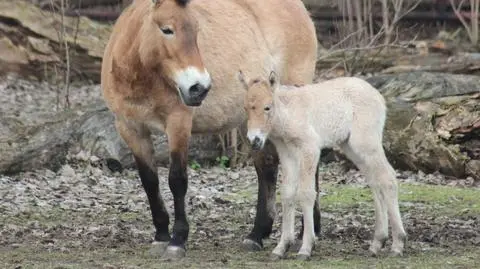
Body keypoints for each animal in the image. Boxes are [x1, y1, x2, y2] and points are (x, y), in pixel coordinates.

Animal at [101, 0, 318, 258]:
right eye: (167, 30)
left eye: (196, 30)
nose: (199, 88)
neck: (139, 74)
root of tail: (301, 10)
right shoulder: (130, 129)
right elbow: (149, 182)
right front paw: (160, 236)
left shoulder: (178, 124)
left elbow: (177, 180)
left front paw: (177, 241)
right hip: (254, 119)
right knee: (266, 168)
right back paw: (257, 235)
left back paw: (310, 232)